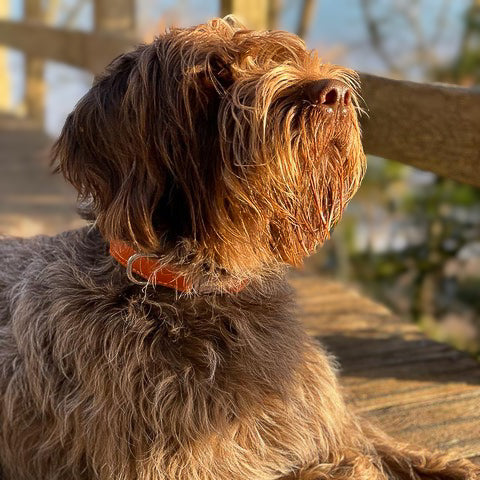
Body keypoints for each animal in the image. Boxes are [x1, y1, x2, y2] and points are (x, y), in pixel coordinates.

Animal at [0, 16, 478, 478]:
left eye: (286, 57)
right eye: (216, 71)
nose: (337, 93)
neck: (201, 290)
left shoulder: (326, 419)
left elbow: (380, 444)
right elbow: (352, 465)